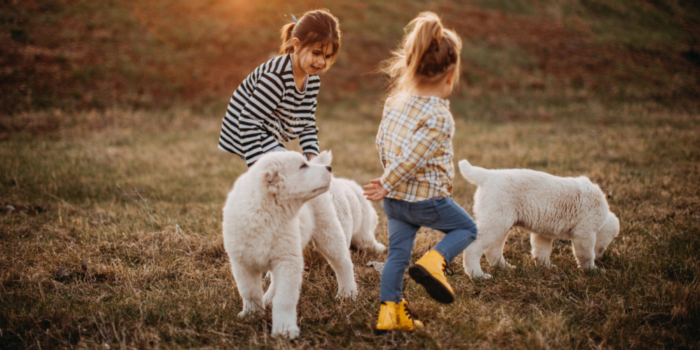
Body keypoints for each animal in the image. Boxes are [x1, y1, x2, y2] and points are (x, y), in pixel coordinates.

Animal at [223, 150, 382, 340]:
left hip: (328, 232)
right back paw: (268, 298)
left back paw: (347, 293)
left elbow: (285, 298)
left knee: (343, 263)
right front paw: (251, 314)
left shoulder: (287, 260)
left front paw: (284, 329)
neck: (266, 213)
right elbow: (249, 292)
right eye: (302, 166)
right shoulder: (242, 263)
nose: (329, 168)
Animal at [460, 159, 616, 278]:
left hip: (500, 221)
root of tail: (488, 175)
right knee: (474, 247)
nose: (601, 258)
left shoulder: (544, 232)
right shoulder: (585, 232)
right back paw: (477, 275)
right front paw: (593, 270)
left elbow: (541, 251)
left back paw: (505, 268)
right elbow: (586, 254)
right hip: (496, 221)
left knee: (493, 250)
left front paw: (548, 267)